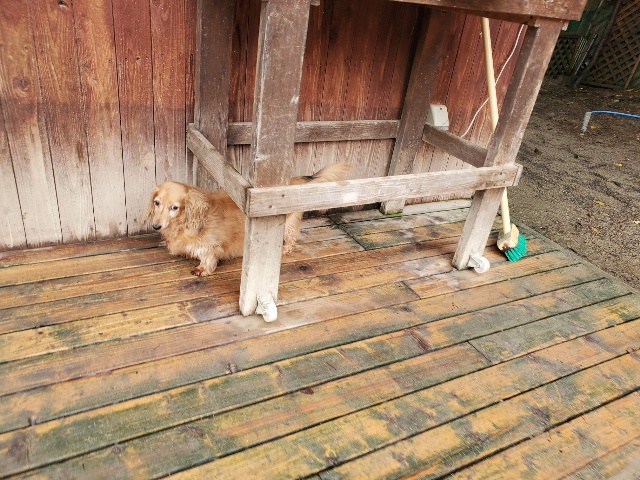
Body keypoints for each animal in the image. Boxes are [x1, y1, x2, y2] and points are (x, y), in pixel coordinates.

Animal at [147, 163, 350, 276]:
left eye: (174, 207)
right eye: (157, 203)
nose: (156, 226)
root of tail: (295, 182)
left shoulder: (211, 245)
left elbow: (207, 257)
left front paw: (202, 269)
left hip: (287, 225)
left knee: (291, 239)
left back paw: (284, 250)